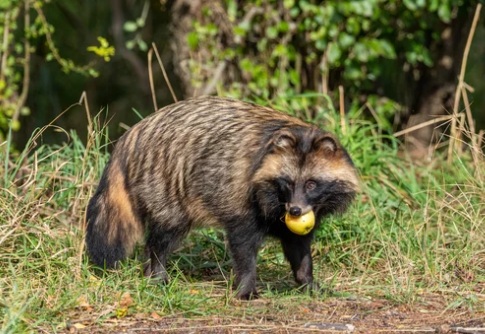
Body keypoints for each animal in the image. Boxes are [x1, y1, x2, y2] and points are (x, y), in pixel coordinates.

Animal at [85, 95, 358, 298]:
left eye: (311, 184)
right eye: (288, 183)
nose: (295, 211)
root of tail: (132, 135)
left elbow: (297, 244)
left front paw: (306, 280)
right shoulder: (241, 195)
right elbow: (243, 244)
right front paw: (246, 286)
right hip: (163, 182)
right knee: (164, 233)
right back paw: (156, 270)